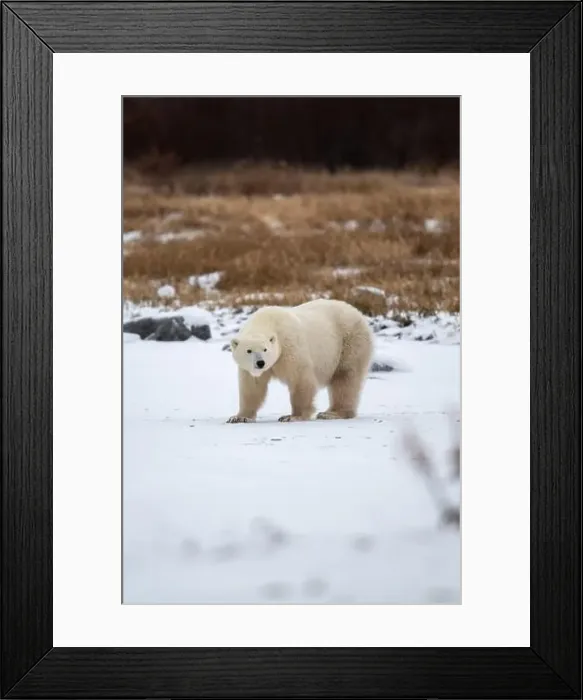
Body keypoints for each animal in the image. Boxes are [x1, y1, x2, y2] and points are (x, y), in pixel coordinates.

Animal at [227, 299, 373, 423]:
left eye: (265, 349)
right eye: (249, 350)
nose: (260, 363)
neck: (266, 321)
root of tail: (357, 312)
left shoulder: (289, 347)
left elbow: (300, 379)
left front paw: (292, 416)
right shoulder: (252, 369)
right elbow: (252, 386)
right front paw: (239, 417)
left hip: (350, 341)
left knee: (345, 377)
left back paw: (332, 413)